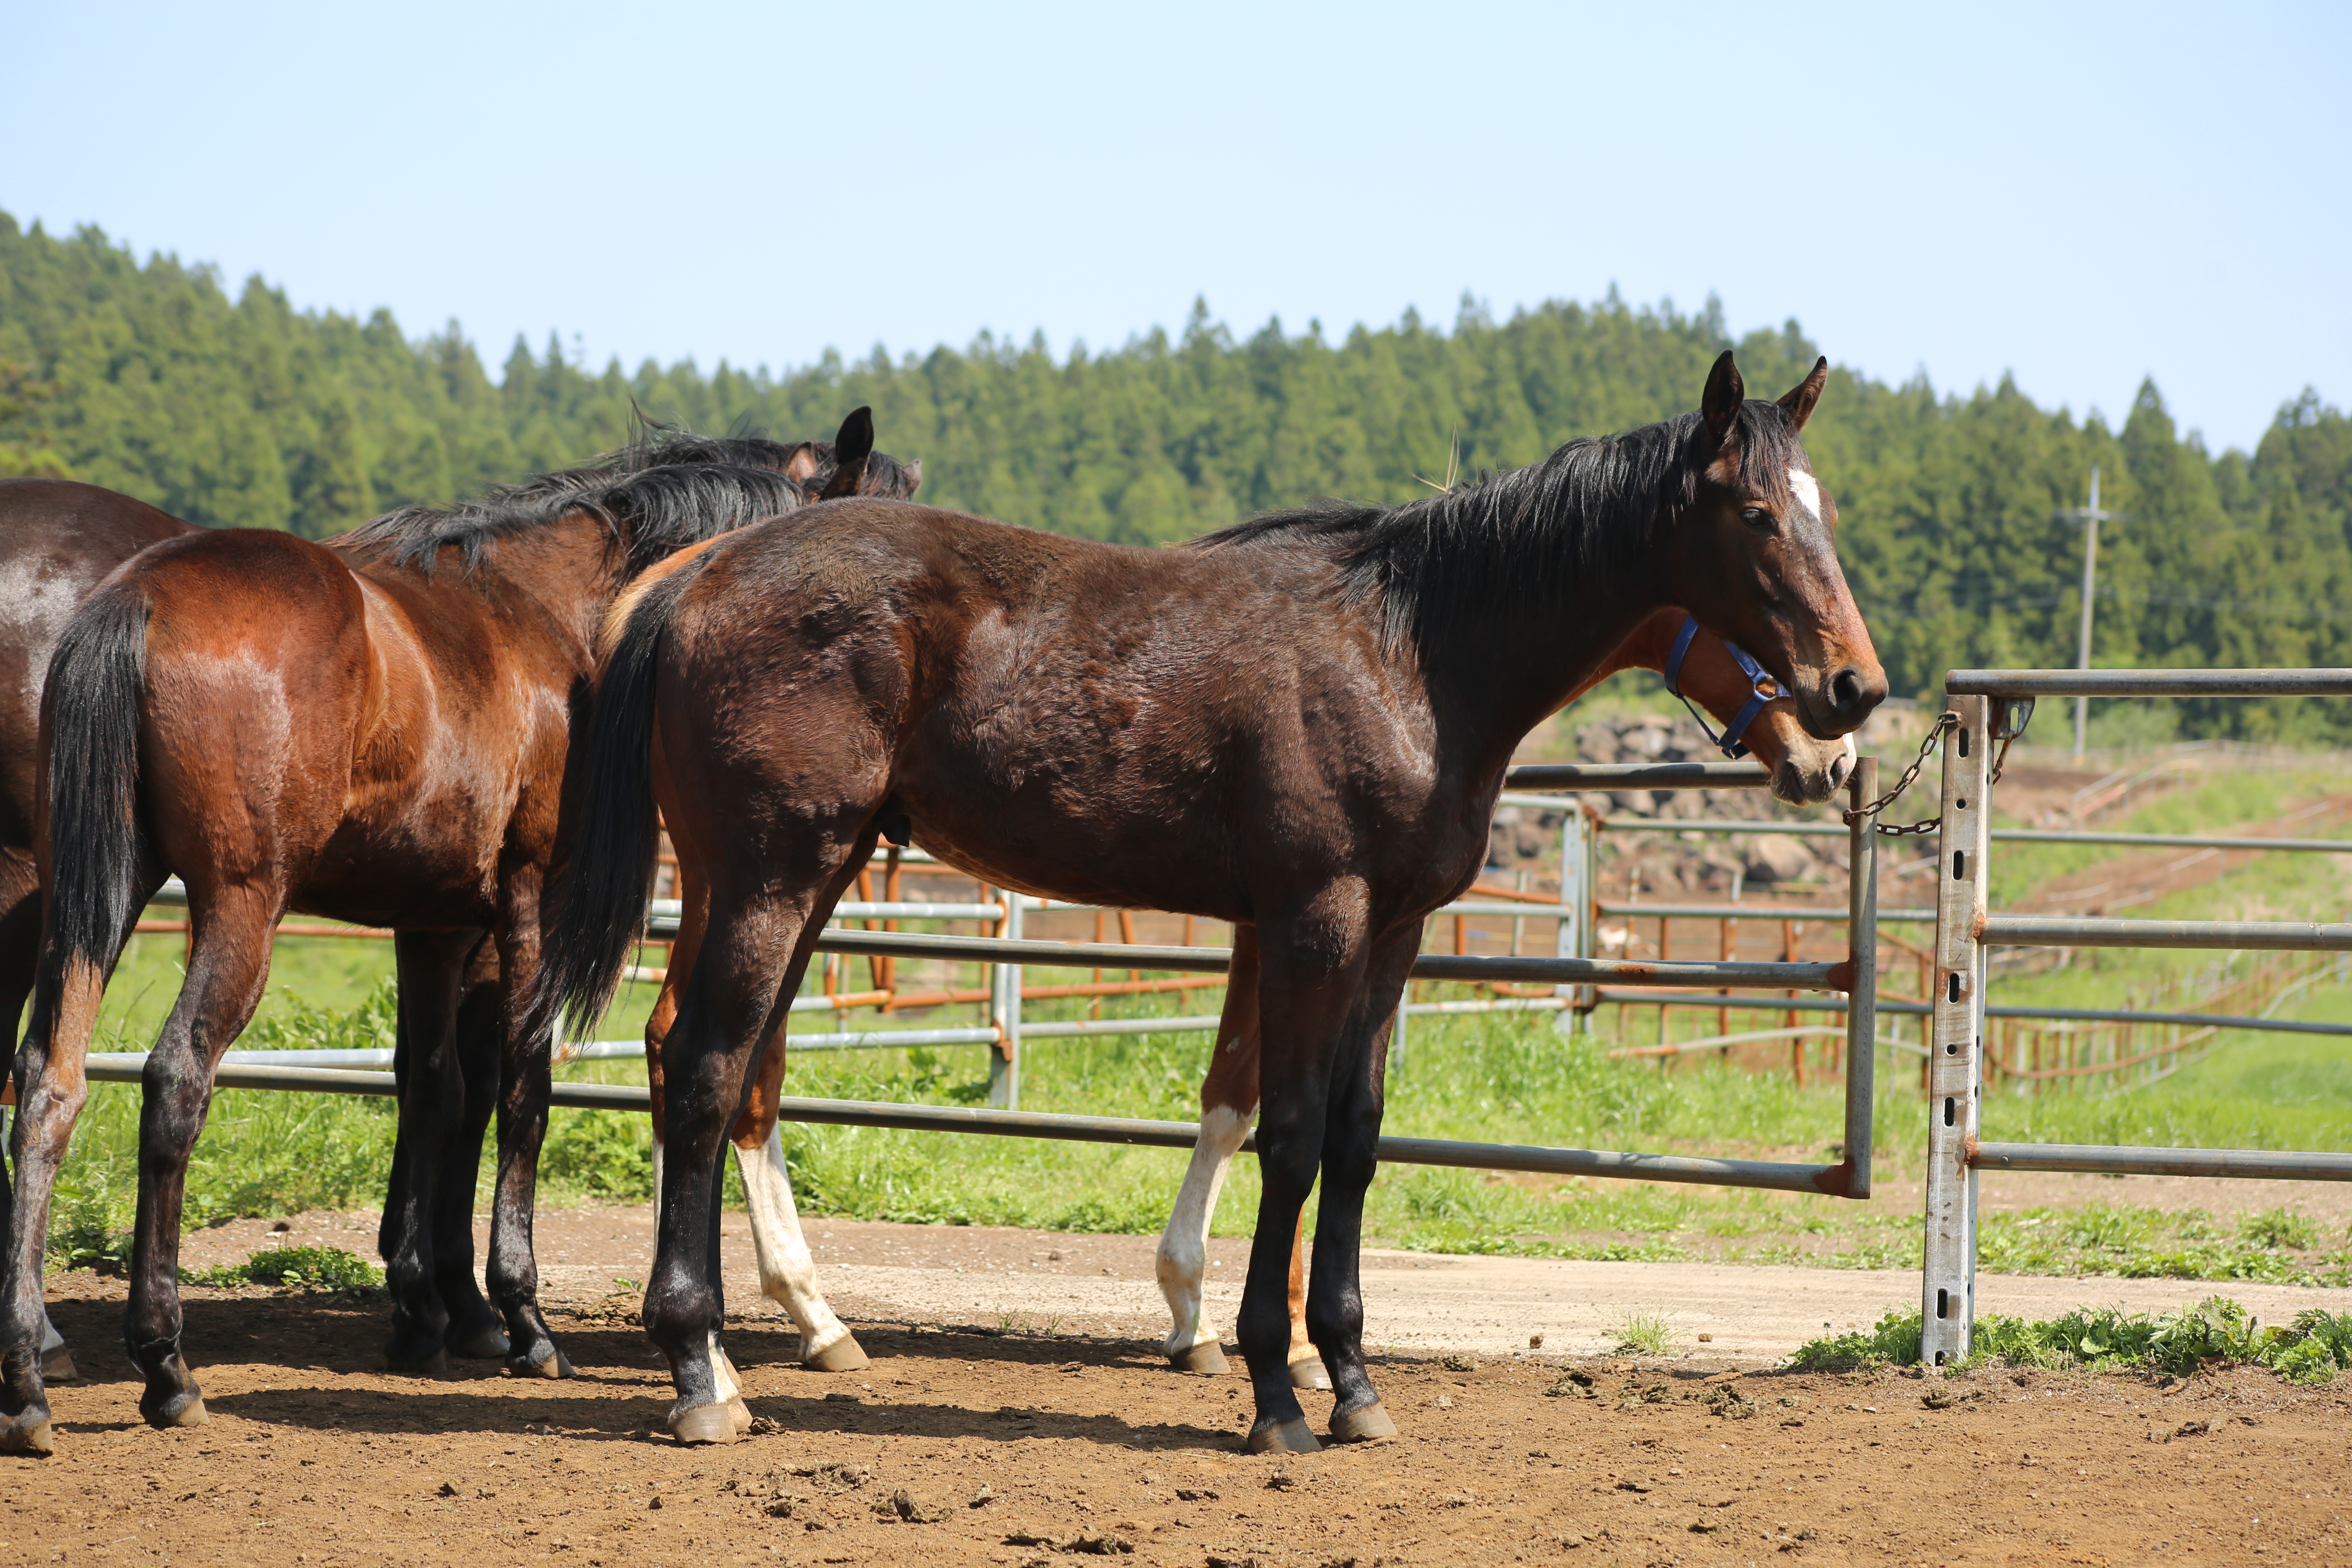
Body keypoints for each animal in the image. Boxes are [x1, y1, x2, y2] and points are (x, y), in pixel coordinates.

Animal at [0, 414, 917, 1448]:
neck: (548, 617)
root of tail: (138, 599)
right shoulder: (530, 906)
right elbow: (522, 1092)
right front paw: (521, 1316)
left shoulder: (439, 925)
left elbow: (439, 1090)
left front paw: (435, 1310)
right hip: (235, 904)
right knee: (174, 1080)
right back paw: (164, 1366)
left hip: (100, 894)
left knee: (48, 1081)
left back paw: (27, 1371)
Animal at [539, 350, 1891, 1457]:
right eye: (1757, 514)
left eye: (1826, 506)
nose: (1852, 699)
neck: (1410, 654)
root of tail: (695, 574)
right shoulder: (1312, 921)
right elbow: (1285, 1131)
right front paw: (1273, 1386)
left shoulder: (1391, 936)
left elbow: (1355, 1137)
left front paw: (1352, 1380)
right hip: (770, 878)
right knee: (709, 1071)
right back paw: (701, 1371)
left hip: (781, 876)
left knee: (702, 1064)